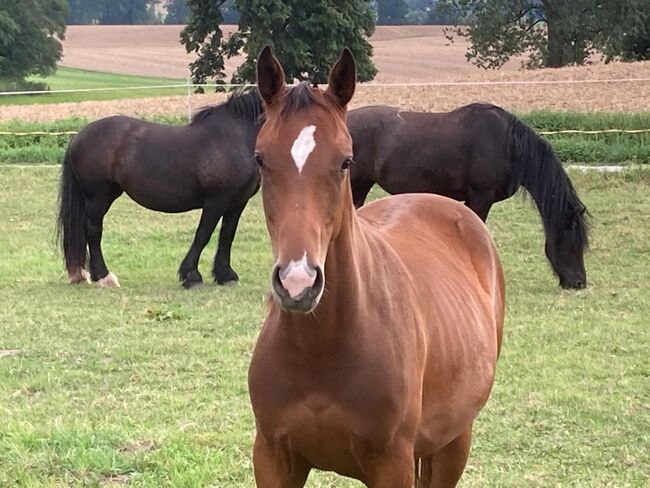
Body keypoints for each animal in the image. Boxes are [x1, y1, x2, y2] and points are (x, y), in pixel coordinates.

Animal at [55, 91, 262, 288]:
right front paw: (191, 275)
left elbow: (227, 236)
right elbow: (203, 235)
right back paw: (104, 276)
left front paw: (226, 275)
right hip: (98, 196)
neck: (234, 138)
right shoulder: (215, 201)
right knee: (93, 231)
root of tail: (78, 136)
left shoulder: (237, 202)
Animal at [246, 46, 504, 488]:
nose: (298, 283)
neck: (324, 346)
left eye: (345, 161)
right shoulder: (273, 458)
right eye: (261, 159)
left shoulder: (392, 464)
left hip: (455, 441)